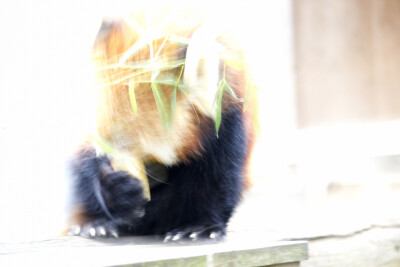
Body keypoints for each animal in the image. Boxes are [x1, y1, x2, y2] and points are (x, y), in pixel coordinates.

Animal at [69, 6, 256, 242]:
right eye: (100, 142)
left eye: (128, 147)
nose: (107, 160)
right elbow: (81, 167)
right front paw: (115, 191)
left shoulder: (228, 114)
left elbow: (218, 177)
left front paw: (201, 226)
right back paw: (99, 224)